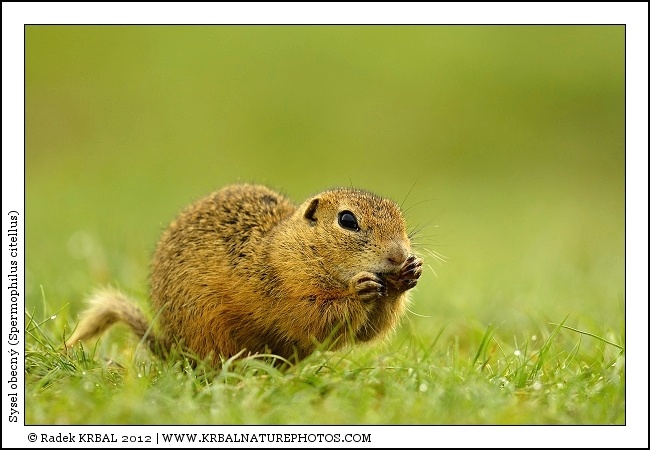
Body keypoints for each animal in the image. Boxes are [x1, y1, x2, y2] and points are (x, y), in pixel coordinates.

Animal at [65, 184, 423, 364]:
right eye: (347, 220)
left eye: (399, 216)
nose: (399, 255)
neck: (293, 248)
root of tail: (176, 350)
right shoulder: (287, 288)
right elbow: (317, 319)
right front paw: (359, 290)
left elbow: (367, 332)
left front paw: (409, 275)